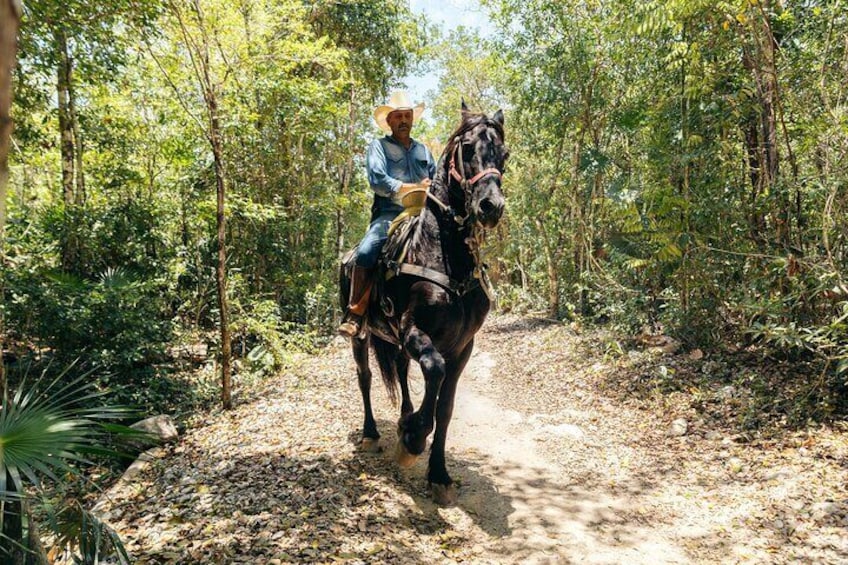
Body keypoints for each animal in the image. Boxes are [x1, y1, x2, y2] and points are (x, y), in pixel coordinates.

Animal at [342, 102, 506, 506]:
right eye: (467, 149)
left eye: (505, 154)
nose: (491, 206)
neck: (442, 254)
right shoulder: (414, 330)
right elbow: (433, 369)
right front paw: (414, 437)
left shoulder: (463, 346)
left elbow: (445, 408)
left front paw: (439, 474)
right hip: (360, 336)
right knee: (366, 377)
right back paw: (372, 433)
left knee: (400, 371)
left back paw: (403, 417)